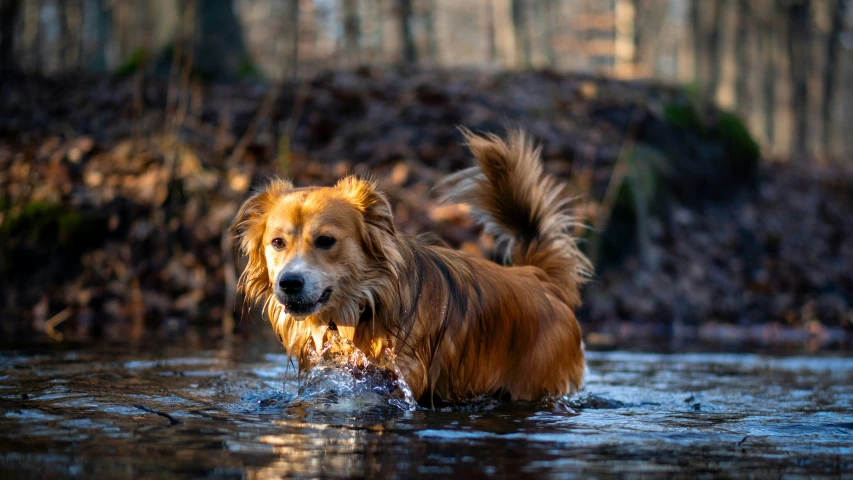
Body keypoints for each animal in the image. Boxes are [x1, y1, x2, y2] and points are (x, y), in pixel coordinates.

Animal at [231, 129, 592, 404]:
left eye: (325, 240)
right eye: (278, 243)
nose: (289, 283)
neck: (362, 308)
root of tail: (540, 278)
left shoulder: (400, 377)